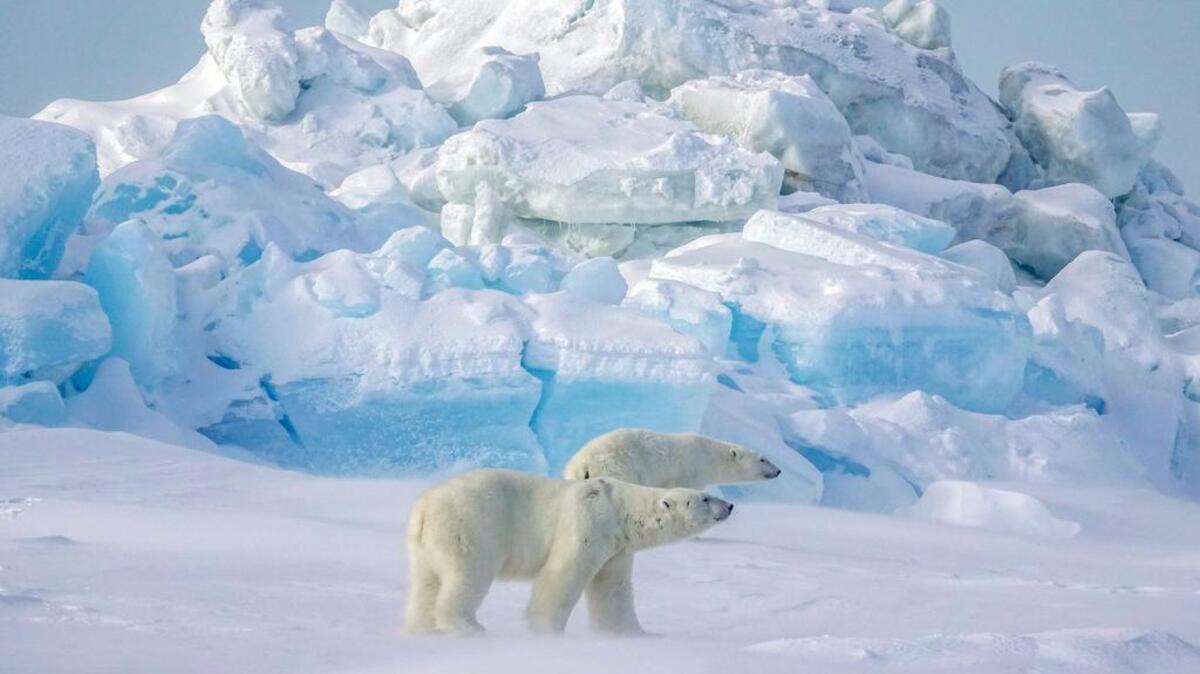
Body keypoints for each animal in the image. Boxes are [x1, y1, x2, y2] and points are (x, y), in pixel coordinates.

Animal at [403, 468, 734, 636]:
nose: (729, 505)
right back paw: (468, 627)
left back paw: (420, 628)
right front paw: (545, 630)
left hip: (425, 545)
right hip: (470, 527)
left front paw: (631, 634)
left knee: (425, 583)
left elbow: (612, 589)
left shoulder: (617, 548)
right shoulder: (587, 520)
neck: (619, 509)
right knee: (468, 575)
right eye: (705, 498)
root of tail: (424, 507)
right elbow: (563, 574)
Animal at [563, 428, 782, 489]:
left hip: (572, 475)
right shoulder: (691, 470)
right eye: (763, 459)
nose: (779, 471)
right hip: (618, 467)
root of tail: (584, 463)